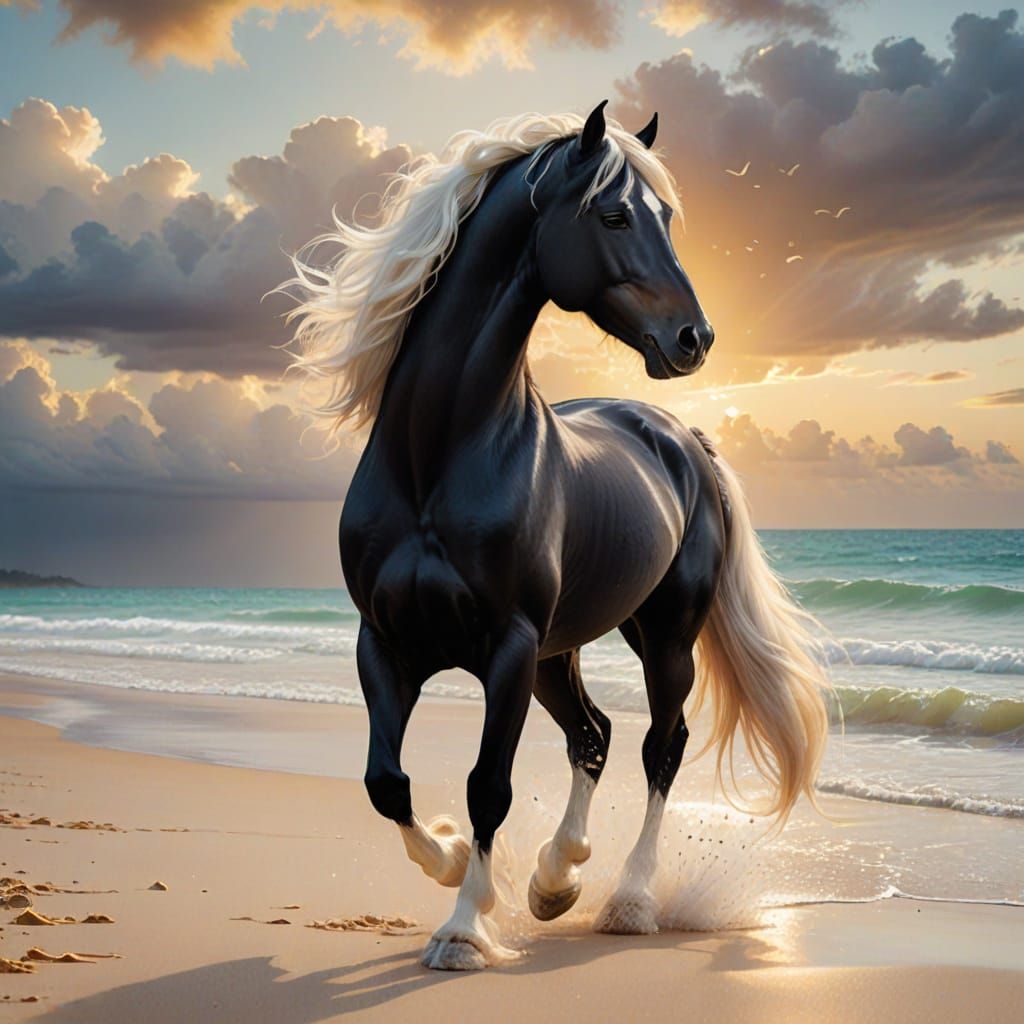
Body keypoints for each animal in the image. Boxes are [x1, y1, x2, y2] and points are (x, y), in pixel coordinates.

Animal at [284, 101, 829, 971]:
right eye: (614, 215)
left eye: (666, 215)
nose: (695, 338)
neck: (438, 458)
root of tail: (682, 437)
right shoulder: (386, 642)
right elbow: (386, 782)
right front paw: (451, 863)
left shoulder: (507, 644)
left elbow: (489, 786)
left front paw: (463, 928)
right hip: (559, 651)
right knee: (593, 734)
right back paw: (555, 878)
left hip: (661, 636)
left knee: (659, 745)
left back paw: (628, 901)